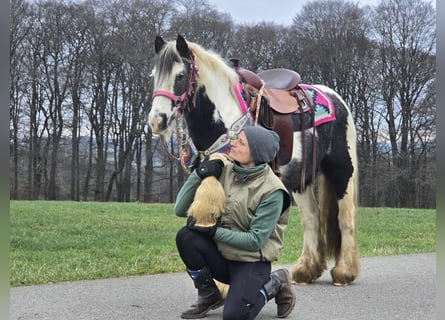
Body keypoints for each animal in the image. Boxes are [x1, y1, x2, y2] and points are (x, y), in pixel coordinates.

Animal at [147, 34, 360, 284]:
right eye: (153, 76)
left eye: (180, 75)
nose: (157, 121)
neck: (225, 118)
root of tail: (335, 98)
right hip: (301, 180)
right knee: (312, 218)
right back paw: (306, 270)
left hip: (342, 169)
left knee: (345, 217)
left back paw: (344, 272)